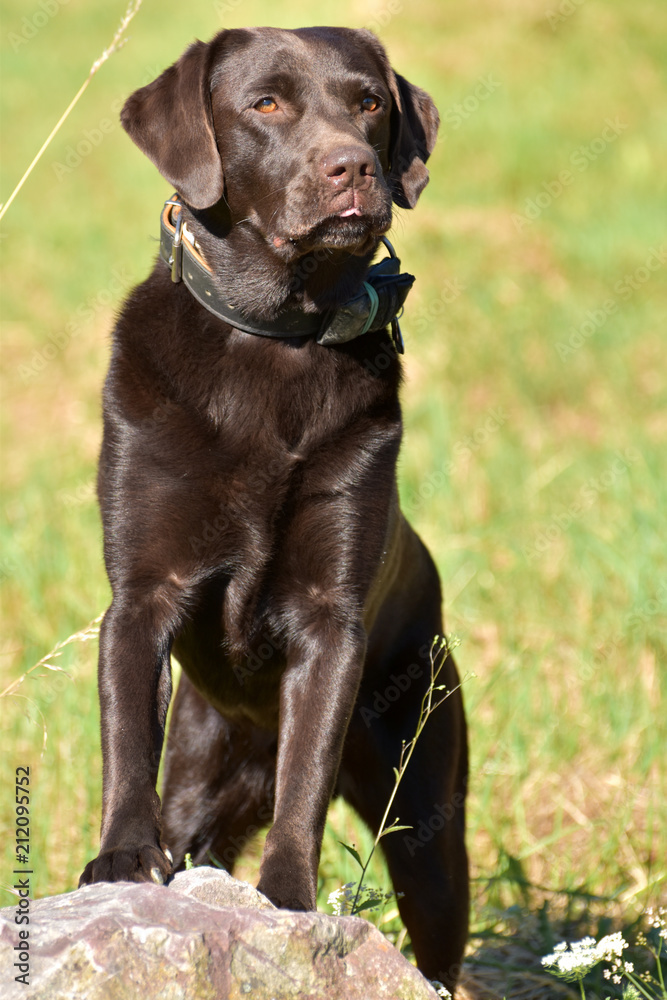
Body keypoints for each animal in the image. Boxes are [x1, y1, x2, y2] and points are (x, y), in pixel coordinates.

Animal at [79, 23, 470, 992]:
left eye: (368, 103)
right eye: (264, 104)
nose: (352, 167)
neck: (276, 334)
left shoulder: (330, 622)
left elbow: (307, 777)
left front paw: (289, 897)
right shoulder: (140, 595)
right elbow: (124, 745)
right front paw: (117, 861)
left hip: (428, 811)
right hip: (201, 773)